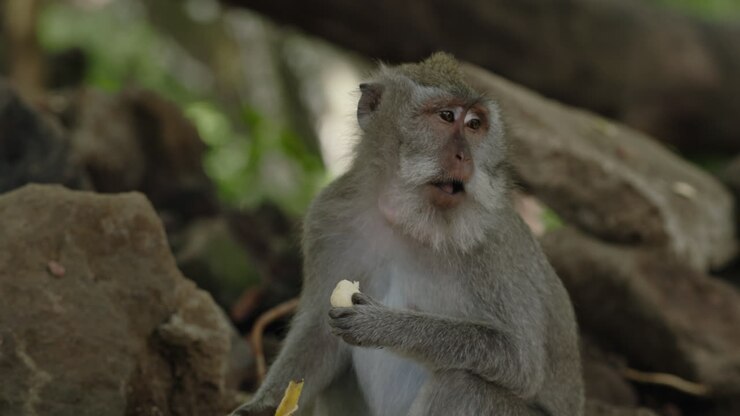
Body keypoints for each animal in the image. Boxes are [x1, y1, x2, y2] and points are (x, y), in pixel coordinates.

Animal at [230, 53, 584, 416]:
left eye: (474, 124)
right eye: (446, 116)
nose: (464, 157)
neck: (406, 219)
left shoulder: (495, 244)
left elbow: (520, 360)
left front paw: (382, 325)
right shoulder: (327, 219)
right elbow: (318, 335)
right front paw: (259, 407)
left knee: (461, 385)